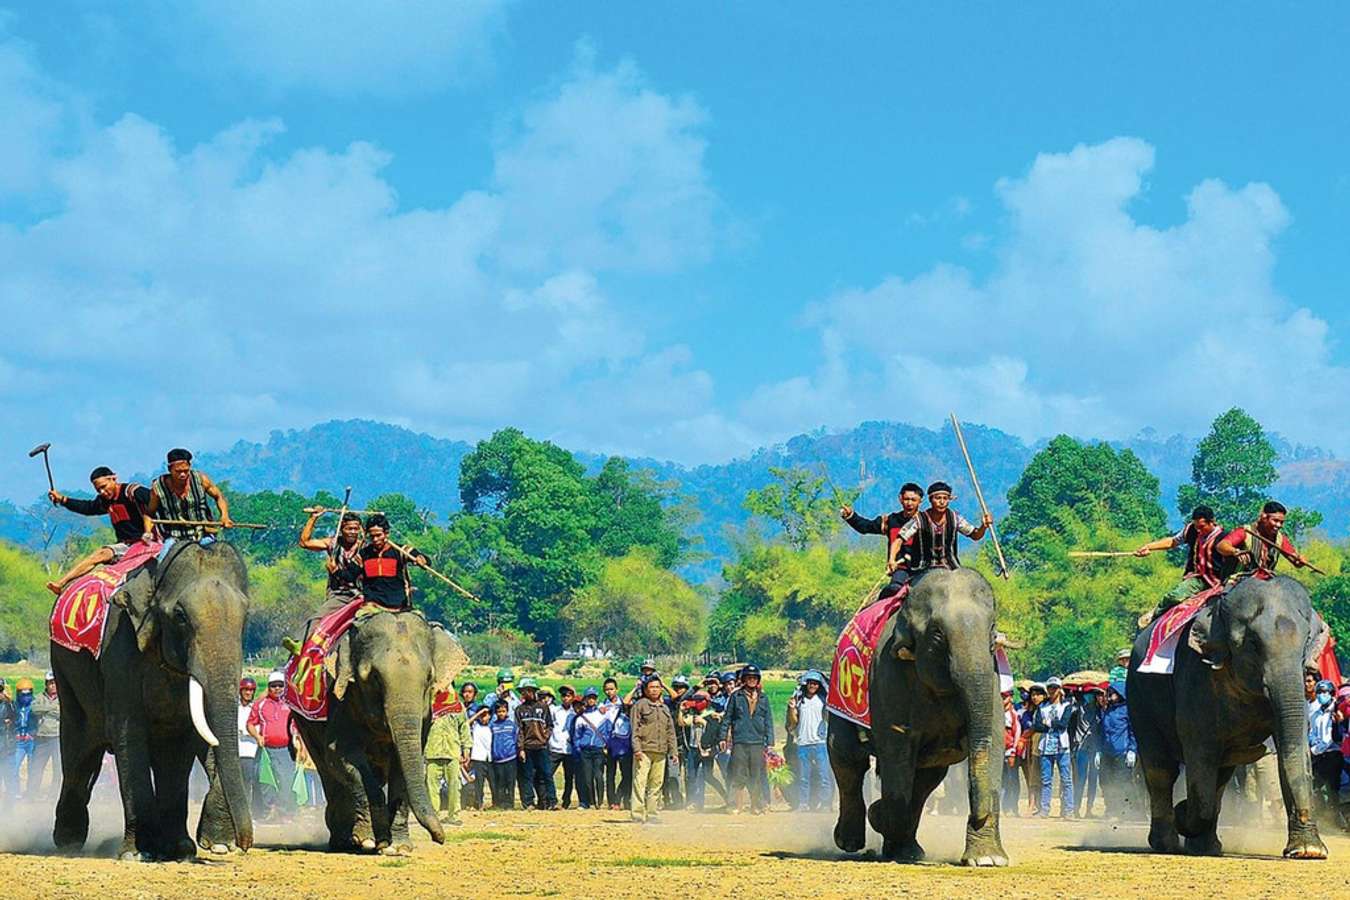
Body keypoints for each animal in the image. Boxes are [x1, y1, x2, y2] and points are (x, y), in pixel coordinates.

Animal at [49, 539, 255, 863]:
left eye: (245, 617)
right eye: (180, 616)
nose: (246, 843)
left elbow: (183, 742)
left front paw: (184, 849)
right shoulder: (119, 647)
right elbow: (128, 733)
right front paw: (138, 853)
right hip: (65, 673)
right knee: (78, 751)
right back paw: (68, 841)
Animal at [292, 609, 467, 858]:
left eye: (429, 678)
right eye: (373, 677)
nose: (440, 838)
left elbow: (404, 767)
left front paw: (399, 846)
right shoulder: (340, 701)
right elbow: (341, 757)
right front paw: (369, 840)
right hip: (305, 720)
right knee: (328, 772)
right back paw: (344, 840)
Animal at [826, 569, 1009, 863]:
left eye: (992, 631)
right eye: (937, 635)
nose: (977, 815)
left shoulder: (992, 677)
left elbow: (992, 742)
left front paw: (988, 859)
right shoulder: (888, 674)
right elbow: (897, 747)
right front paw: (878, 814)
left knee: (926, 779)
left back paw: (907, 851)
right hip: (838, 695)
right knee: (847, 758)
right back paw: (852, 842)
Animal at [1128, 574, 1328, 863]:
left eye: (1306, 643)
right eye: (1253, 644)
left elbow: (1296, 748)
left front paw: (1308, 851)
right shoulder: (1195, 676)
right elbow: (1200, 750)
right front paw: (1182, 812)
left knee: (1221, 775)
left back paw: (1206, 847)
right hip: (1138, 698)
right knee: (1161, 769)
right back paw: (1167, 844)